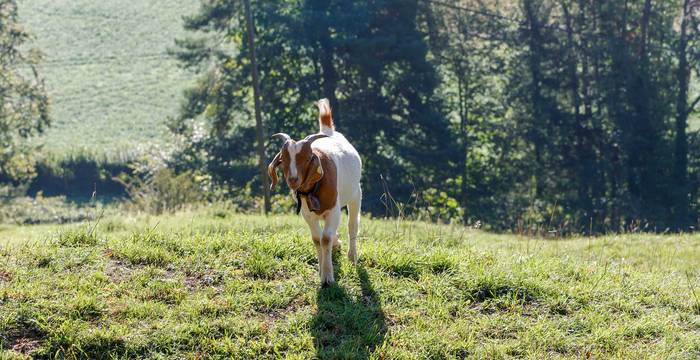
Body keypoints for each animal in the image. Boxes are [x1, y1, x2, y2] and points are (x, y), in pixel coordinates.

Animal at [268, 98, 364, 286]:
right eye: (283, 159)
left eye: (307, 159)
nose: (293, 180)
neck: (314, 188)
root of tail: (328, 130)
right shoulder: (307, 214)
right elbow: (317, 239)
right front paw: (322, 270)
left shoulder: (333, 209)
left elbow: (325, 238)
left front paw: (327, 278)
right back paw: (337, 244)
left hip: (355, 194)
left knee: (352, 225)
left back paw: (352, 257)